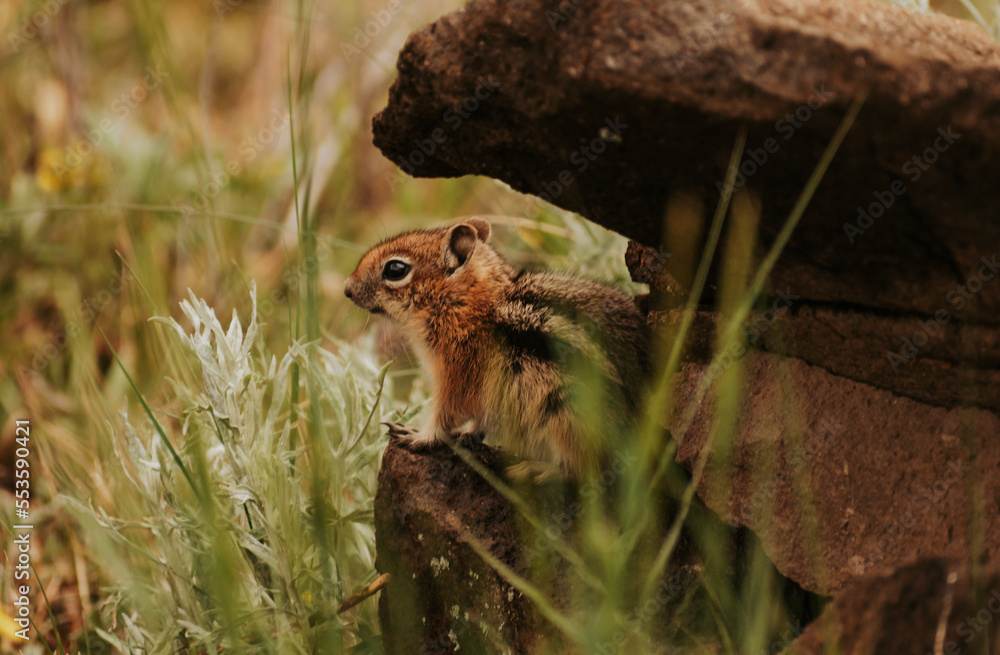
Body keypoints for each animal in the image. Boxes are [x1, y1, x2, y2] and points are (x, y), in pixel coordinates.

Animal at [344, 217, 651, 479]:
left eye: (395, 270)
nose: (346, 288)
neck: (466, 306)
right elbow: (477, 421)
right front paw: (471, 435)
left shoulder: (457, 379)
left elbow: (444, 420)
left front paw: (416, 436)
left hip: (568, 417)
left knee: (583, 471)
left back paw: (536, 470)